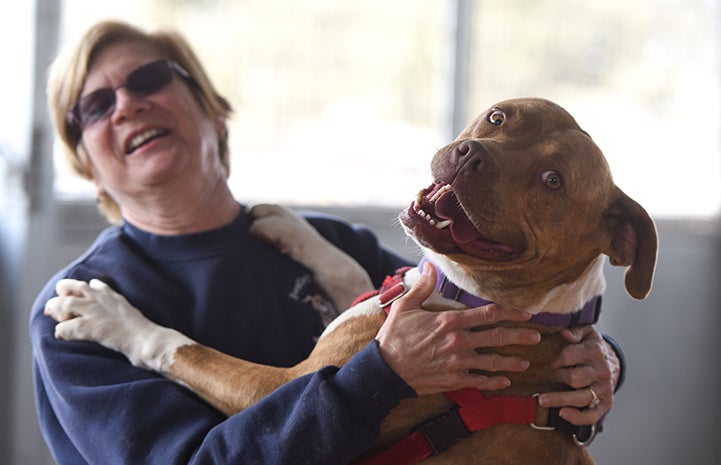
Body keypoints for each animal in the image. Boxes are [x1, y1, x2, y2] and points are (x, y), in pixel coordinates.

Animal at [45, 96, 656, 462]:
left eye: (553, 180)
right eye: (499, 118)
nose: (470, 155)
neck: (471, 293)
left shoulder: (276, 389)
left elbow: (180, 348)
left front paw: (107, 315)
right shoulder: (384, 291)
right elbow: (352, 266)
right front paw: (290, 226)